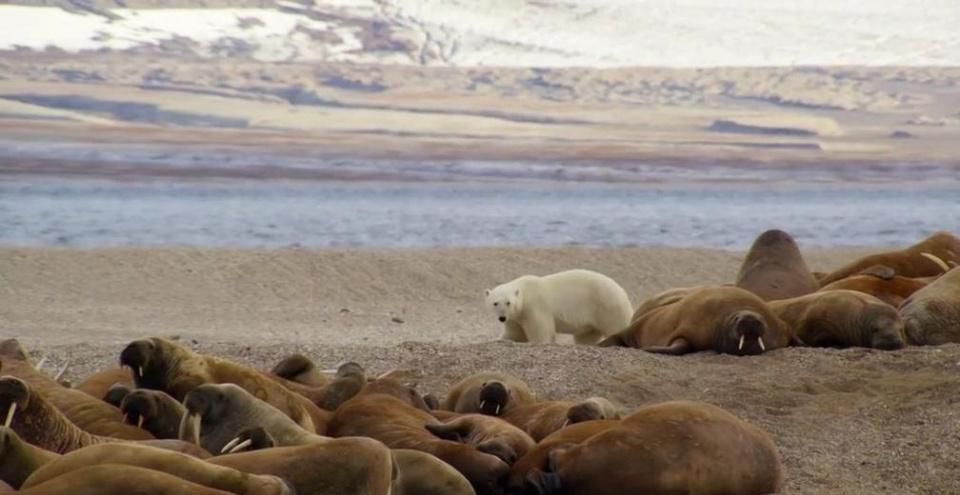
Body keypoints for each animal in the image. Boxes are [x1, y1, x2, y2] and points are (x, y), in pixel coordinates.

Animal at [484, 269, 633, 344]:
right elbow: (514, 333)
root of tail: (623, 293)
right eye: (495, 303)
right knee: (586, 335)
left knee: (617, 326)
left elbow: (541, 329)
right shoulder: (516, 317)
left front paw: (540, 342)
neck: (525, 290)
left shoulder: (535, 305)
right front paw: (499, 339)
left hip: (607, 306)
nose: (502, 318)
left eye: (508, 302)